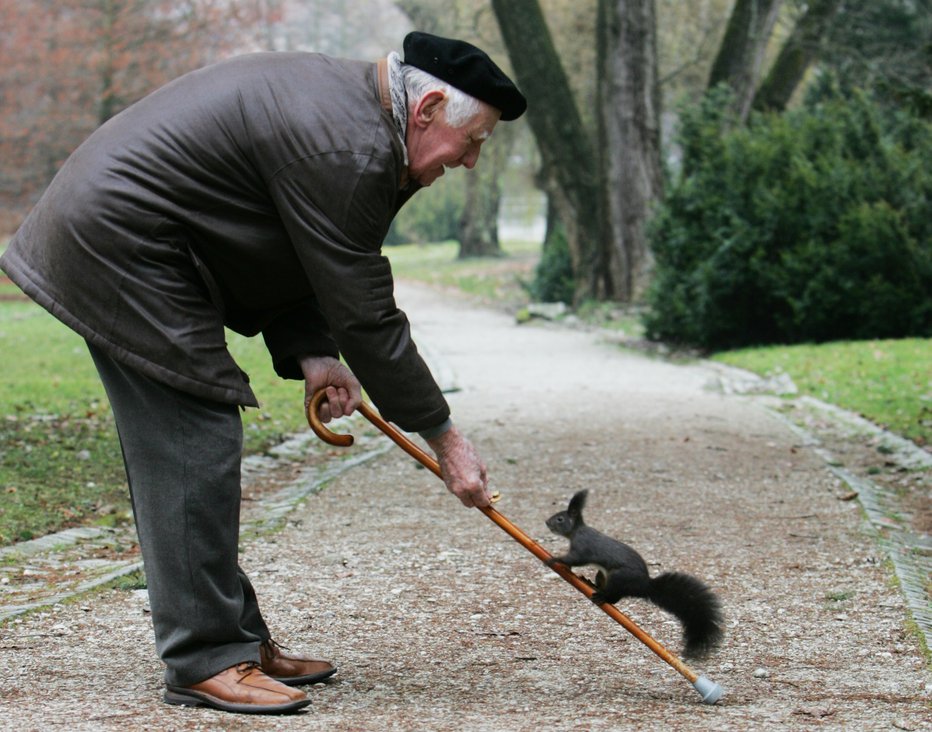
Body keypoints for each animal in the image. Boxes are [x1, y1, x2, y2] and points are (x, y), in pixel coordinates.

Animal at [544, 492, 724, 656]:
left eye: (560, 519)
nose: (546, 522)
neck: (576, 531)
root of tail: (644, 585)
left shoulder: (583, 545)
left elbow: (576, 558)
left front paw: (554, 560)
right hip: (604, 575)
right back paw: (592, 585)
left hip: (618, 577)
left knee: (614, 596)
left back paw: (601, 596)